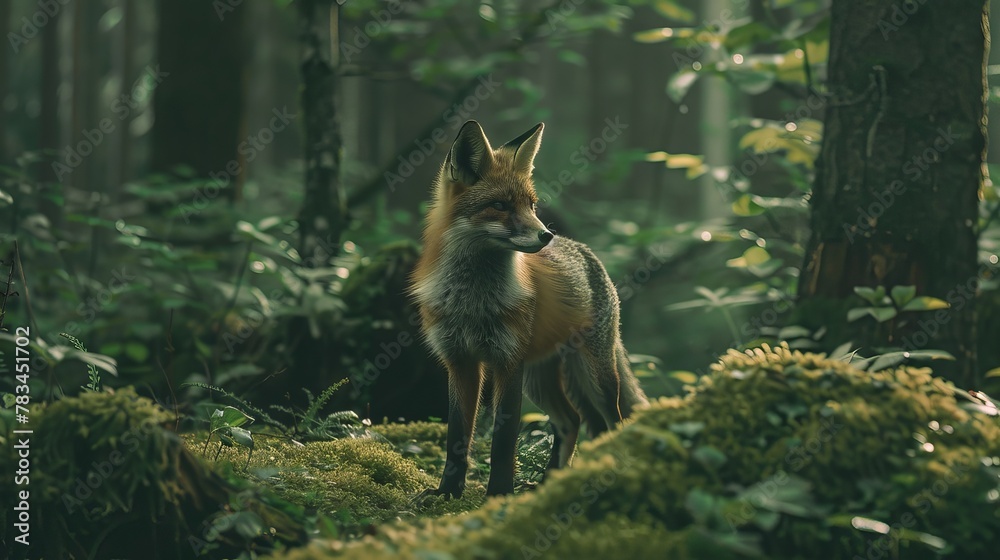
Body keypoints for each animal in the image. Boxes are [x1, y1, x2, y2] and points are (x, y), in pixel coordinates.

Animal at [409, 120, 648, 498]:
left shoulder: (508, 362)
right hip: (541, 379)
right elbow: (456, 435)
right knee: (573, 421)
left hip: (594, 374)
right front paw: (447, 491)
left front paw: (499, 494)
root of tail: (585, 252)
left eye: (532, 205)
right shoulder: (460, 361)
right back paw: (551, 484)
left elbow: (504, 439)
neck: (472, 302)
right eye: (500, 205)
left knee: (611, 422)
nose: (546, 235)